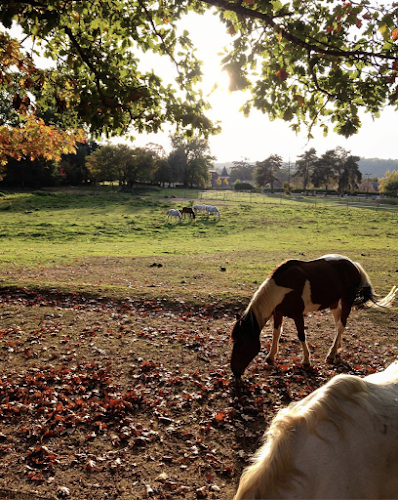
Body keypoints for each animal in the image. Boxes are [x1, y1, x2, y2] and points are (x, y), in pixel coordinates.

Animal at [232, 256, 396, 376]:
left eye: (242, 342)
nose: (234, 371)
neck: (282, 289)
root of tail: (353, 265)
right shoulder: (278, 313)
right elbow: (276, 333)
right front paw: (271, 357)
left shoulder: (298, 315)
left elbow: (301, 335)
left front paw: (306, 361)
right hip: (334, 303)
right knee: (338, 324)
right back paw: (336, 348)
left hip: (347, 300)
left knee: (341, 325)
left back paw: (331, 354)